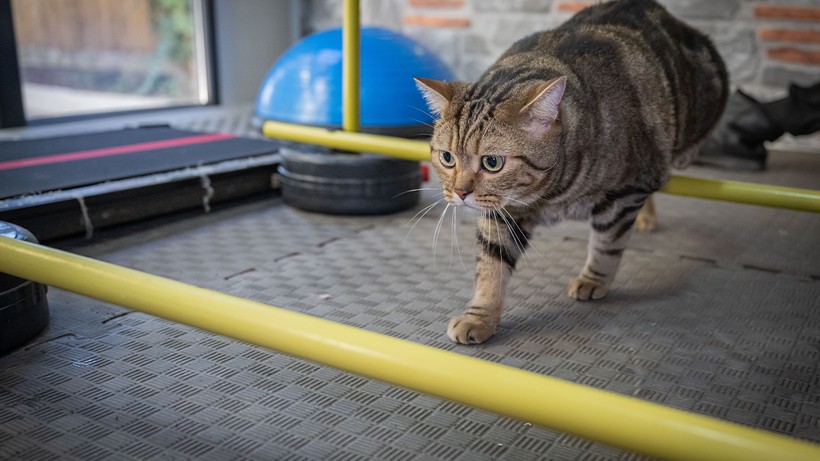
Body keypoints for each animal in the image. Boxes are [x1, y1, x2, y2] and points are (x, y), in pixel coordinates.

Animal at [416, 0, 724, 342]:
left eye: (492, 163)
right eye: (447, 158)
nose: (459, 192)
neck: (550, 194)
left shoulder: (624, 194)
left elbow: (607, 245)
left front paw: (594, 279)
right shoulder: (503, 214)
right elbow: (491, 266)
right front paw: (480, 316)